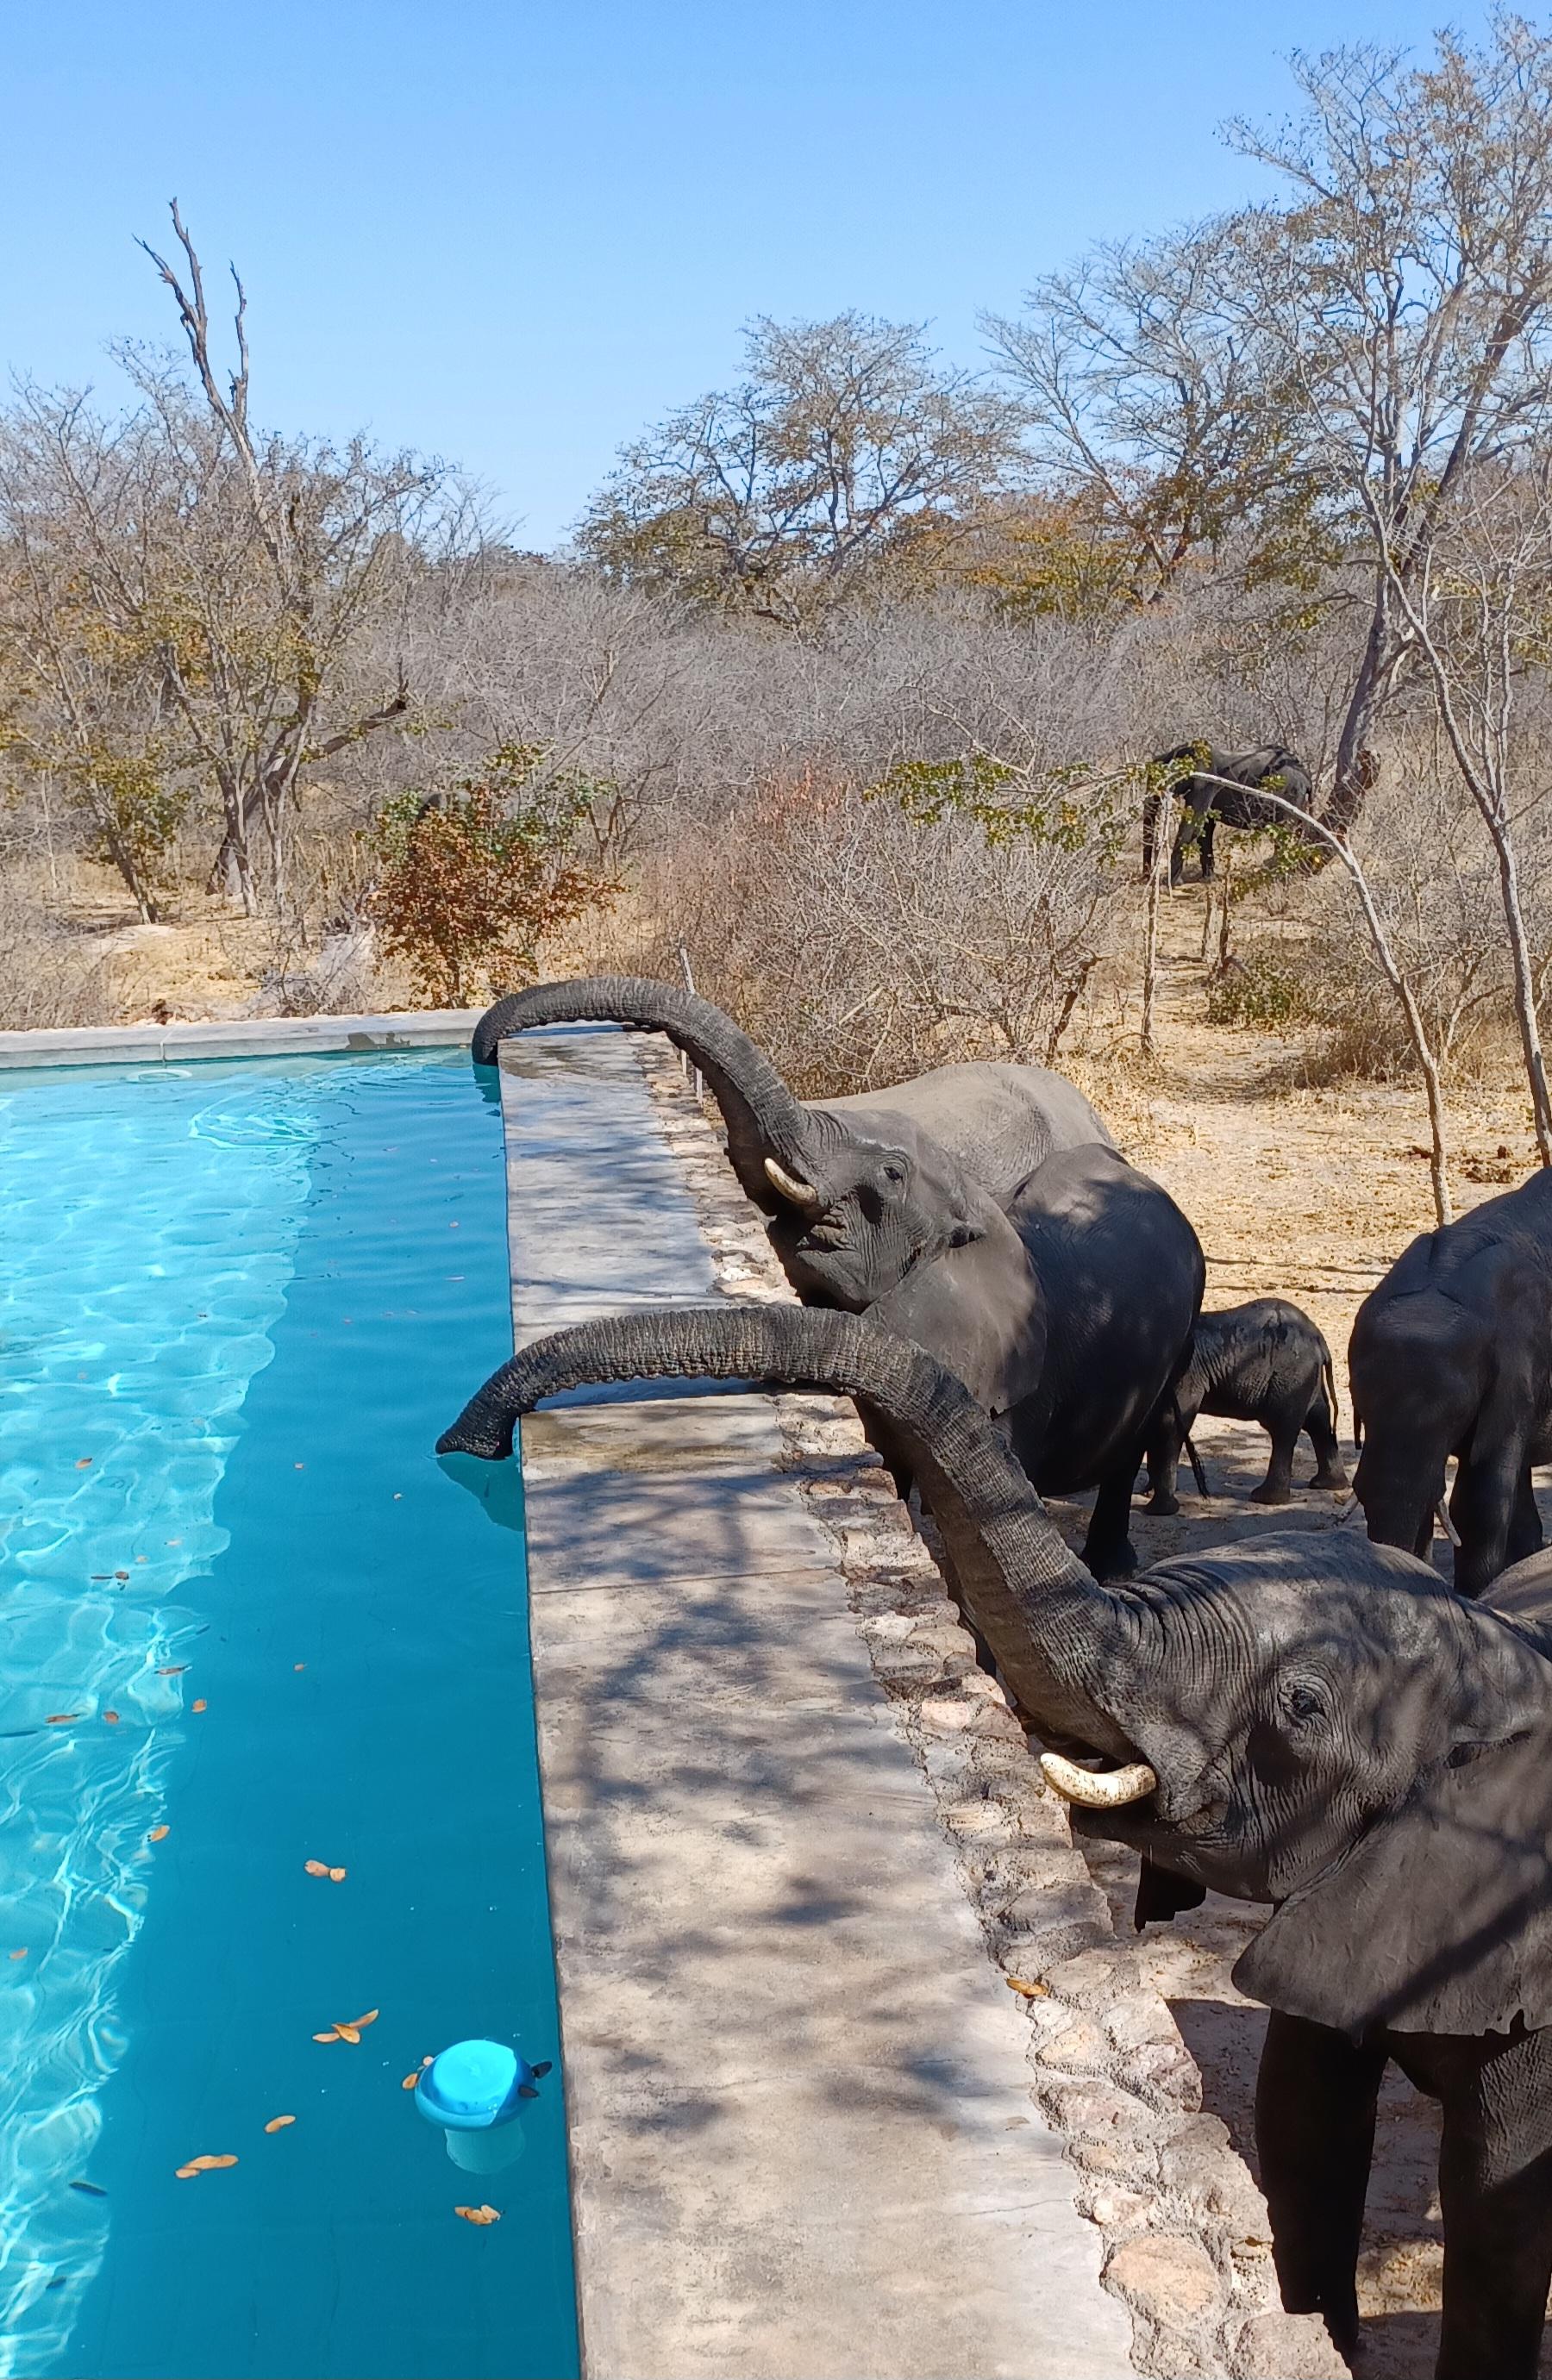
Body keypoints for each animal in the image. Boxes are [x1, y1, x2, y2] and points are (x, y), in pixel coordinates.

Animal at [1133, 742, 1313, 885]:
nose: (1145, 877)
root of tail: (1307, 778)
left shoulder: (1204, 783)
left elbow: (1193, 825)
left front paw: (1171, 883)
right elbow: (1205, 828)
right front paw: (1208, 879)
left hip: (1290, 795)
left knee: (1284, 833)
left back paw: (1279, 877)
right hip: (1300, 801)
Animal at [1147, 1294, 1352, 1513]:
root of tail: (1320, 1341)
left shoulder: (1186, 1372)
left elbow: (1170, 1423)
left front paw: (1156, 1509)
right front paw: (1146, 1491)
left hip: (1291, 1372)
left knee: (1283, 1428)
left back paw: (1265, 1498)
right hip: (1304, 1374)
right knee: (1317, 1420)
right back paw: (1327, 1485)